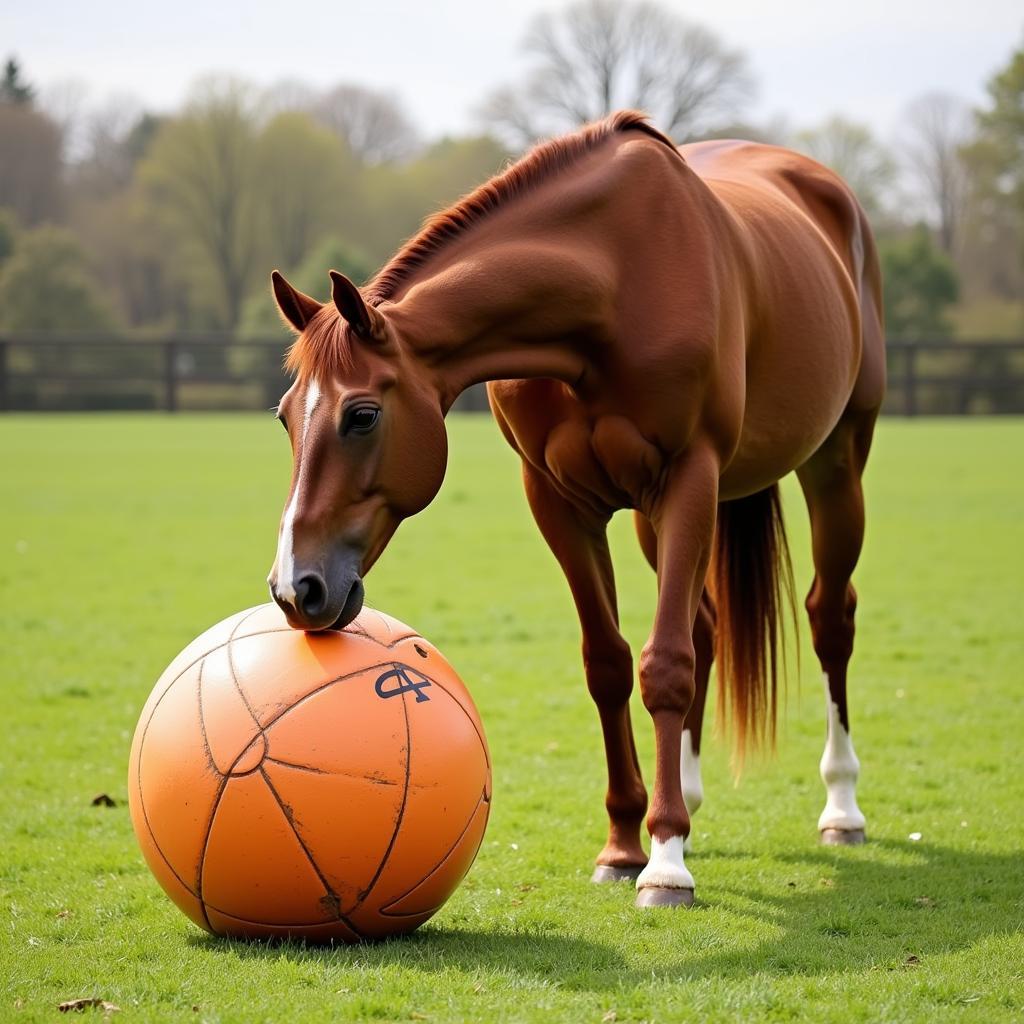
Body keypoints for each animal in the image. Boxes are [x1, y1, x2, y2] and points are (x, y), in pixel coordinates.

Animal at [268, 114, 884, 913]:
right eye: (286, 416)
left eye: (362, 415)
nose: (295, 588)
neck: (612, 282)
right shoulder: (560, 501)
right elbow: (610, 664)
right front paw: (627, 844)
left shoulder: (690, 475)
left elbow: (665, 665)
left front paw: (665, 865)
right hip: (661, 520)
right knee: (706, 624)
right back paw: (686, 799)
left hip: (834, 465)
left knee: (828, 618)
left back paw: (840, 807)